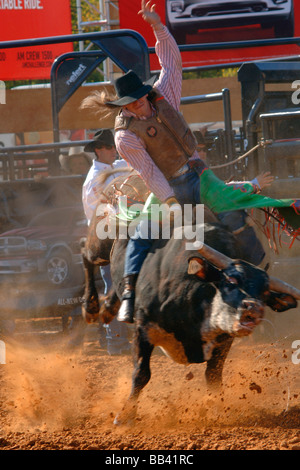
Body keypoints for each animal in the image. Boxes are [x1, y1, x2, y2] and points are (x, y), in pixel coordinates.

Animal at [81, 173, 300, 426]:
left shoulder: (223, 341)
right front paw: (124, 416)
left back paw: (109, 308)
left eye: (264, 293)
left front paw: (217, 409)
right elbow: (141, 374)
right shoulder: (143, 329)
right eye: (231, 280)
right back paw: (90, 307)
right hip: (100, 241)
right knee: (84, 252)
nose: (253, 309)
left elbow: (213, 376)